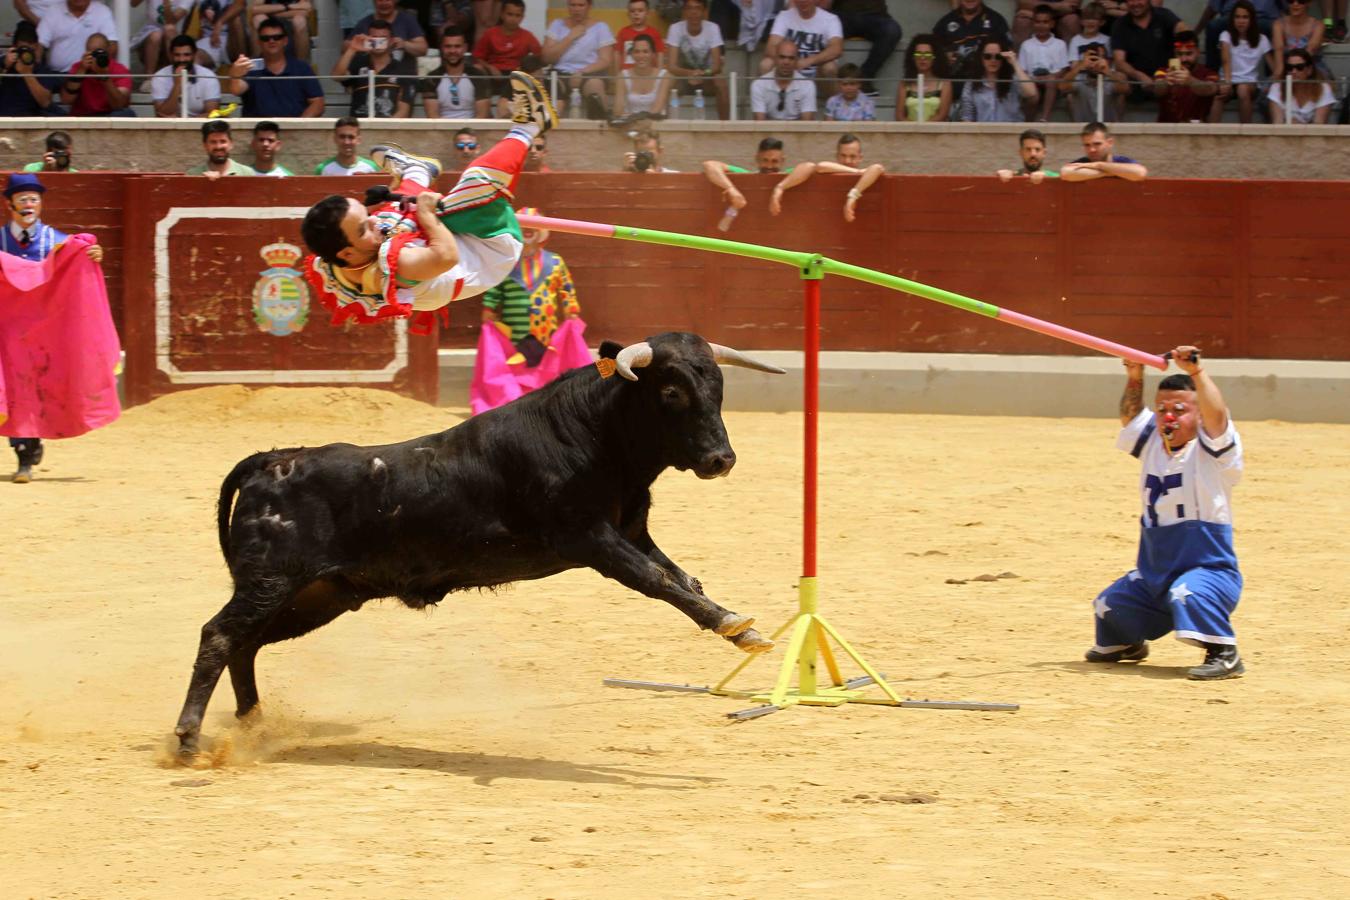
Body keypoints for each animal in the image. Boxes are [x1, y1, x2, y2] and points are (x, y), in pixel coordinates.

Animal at [174, 330, 788, 755]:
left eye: (718, 388)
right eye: (671, 391)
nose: (721, 459)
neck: (590, 433)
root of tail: (272, 459)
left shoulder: (632, 531)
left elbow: (684, 577)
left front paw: (741, 628)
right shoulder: (589, 539)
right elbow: (658, 579)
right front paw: (734, 626)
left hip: (318, 595)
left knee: (246, 643)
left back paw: (254, 727)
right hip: (271, 580)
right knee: (219, 635)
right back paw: (188, 738)